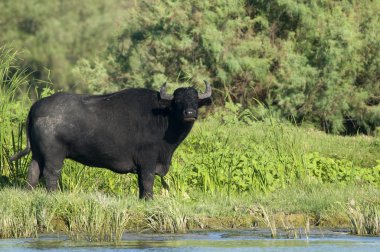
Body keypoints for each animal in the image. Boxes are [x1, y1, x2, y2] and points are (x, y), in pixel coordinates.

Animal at [9, 82, 211, 199]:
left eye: (194, 100)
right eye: (177, 101)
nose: (190, 113)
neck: (163, 118)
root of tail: (37, 106)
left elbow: (141, 184)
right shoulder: (148, 160)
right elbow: (147, 182)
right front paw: (149, 200)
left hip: (37, 153)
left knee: (33, 172)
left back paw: (29, 193)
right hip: (54, 155)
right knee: (51, 174)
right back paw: (53, 195)